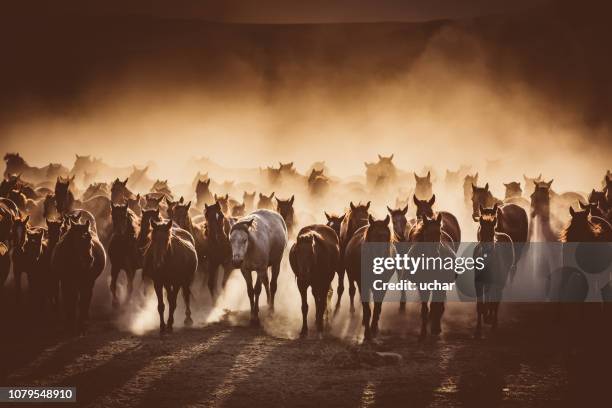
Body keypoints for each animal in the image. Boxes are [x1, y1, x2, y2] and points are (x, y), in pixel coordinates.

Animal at [346, 214, 394, 342]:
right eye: (374, 236)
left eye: (386, 236)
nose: (381, 258)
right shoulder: (362, 284)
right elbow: (367, 309)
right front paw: (367, 334)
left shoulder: (382, 285)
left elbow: (377, 307)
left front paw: (374, 329)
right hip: (351, 277)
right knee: (354, 292)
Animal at [474, 206, 516, 336]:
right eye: (481, 232)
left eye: (492, 233)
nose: (487, 249)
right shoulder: (479, 283)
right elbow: (480, 305)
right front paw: (478, 329)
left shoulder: (496, 282)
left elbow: (493, 302)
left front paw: (491, 322)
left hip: (500, 281)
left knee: (496, 301)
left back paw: (493, 322)